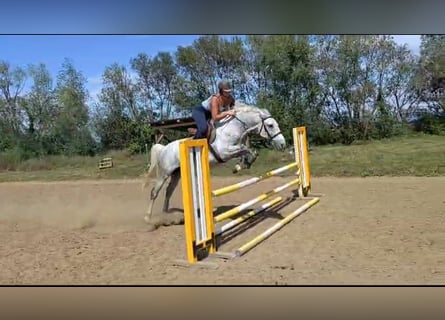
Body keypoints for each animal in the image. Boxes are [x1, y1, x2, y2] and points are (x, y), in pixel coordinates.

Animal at [144, 103, 286, 228]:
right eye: (270, 125)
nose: (282, 144)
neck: (233, 128)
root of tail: (164, 148)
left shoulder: (233, 150)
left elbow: (248, 151)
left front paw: (243, 165)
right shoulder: (224, 152)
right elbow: (246, 149)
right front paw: (242, 165)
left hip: (176, 174)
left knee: (168, 191)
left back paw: (166, 215)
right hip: (164, 173)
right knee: (154, 193)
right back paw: (149, 219)